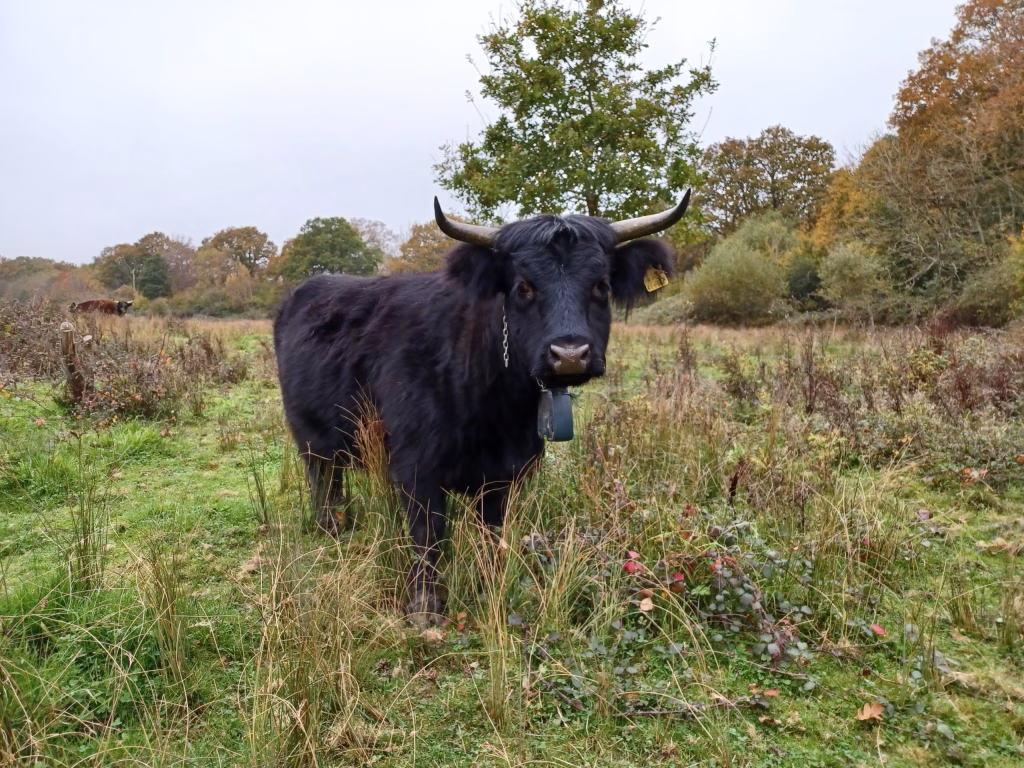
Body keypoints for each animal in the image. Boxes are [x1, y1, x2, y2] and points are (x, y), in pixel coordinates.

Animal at [273, 192, 690, 625]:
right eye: (523, 286)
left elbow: (492, 534)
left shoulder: (504, 472)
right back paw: (331, 528)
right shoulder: (415, 465)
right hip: (310, 436)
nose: (570, 354)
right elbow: (427, 534)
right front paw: (425, 608)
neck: (494, 407)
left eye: (600, 285)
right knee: (322, 479)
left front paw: (492, 586)